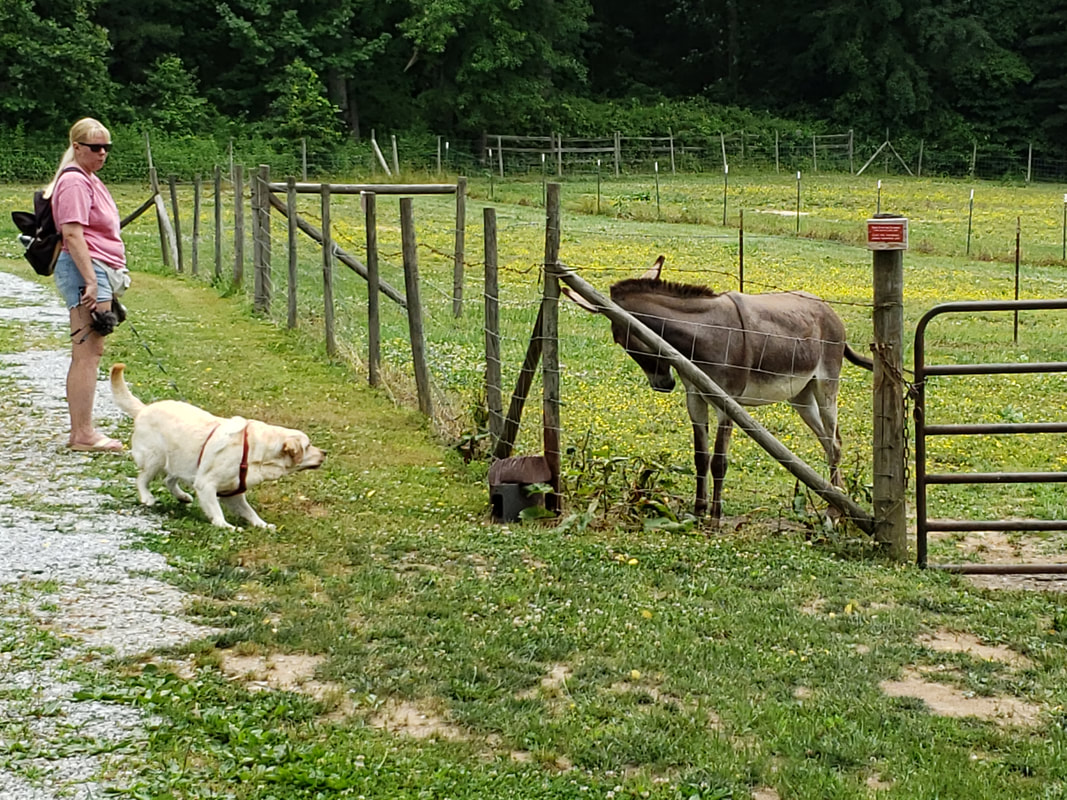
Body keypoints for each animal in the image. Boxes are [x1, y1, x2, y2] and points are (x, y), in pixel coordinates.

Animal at [108, 364, 326, 529]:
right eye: (308, 445)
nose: (325, 452)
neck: (256, 453)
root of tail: (144, 409)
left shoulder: (233, 493)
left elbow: (250, 512)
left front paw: (263, 525)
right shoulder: (207, 484)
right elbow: (216, 510)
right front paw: (225, 526)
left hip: (183, 458)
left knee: (169, 480)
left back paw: (183, 497)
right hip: (156, 457)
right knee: (142, 479)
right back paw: (147, 497)